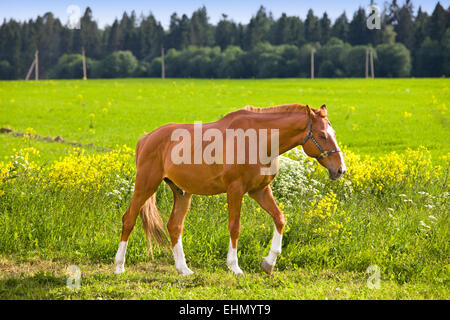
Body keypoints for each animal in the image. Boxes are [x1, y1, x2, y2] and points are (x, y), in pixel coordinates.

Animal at [114, 104, 346, 276]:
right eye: (322, 135)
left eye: (334, 133)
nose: (340, 169)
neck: (258, 140)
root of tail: (146, 138)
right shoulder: (235, 190)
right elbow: (235, 227)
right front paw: (234, 267)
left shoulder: (260, 190)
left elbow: (279, 219)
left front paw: (268, 263)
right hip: (145, 185)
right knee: (129, 219)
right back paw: (119, 267)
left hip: (182, 192)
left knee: (174, 226)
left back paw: (184, 269)